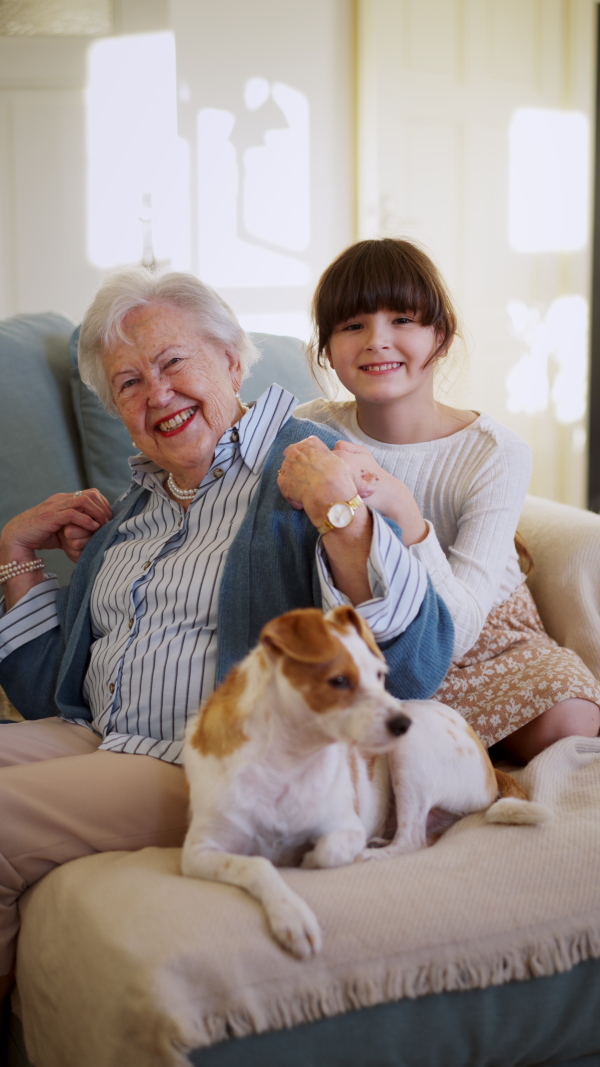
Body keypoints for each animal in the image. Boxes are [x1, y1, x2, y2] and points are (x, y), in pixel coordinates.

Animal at [181, 606, 546, 964]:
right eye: (339, 681)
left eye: (380, 675)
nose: (403, 723)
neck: (289, 763)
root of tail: (489, 765)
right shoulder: (199, 853)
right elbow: (258, 864)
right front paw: (292, 916)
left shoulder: (347, 827)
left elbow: (325, 851)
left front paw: (312, 859)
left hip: (409, 755)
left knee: (411, 841)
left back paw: (368, 854)